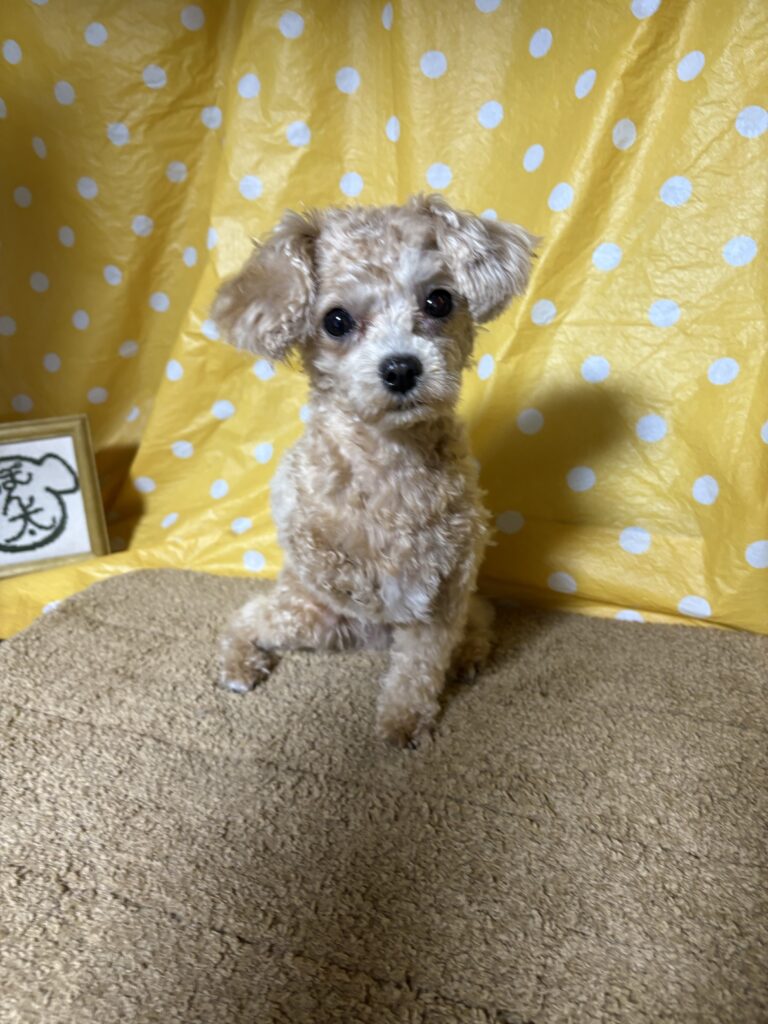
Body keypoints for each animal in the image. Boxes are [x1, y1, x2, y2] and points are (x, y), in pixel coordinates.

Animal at [212, 194, 536, 746]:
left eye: (439, 301)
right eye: (336, 321)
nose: (401, 368)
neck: (392, 458)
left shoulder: (446, 589)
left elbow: (419, 666)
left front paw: (404, 722)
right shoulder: (306, 517)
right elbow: (326, 544)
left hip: (454, 608)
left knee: (481, 617)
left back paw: (469, 653)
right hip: (306, 615)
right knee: (249, 616)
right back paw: (238, 663)